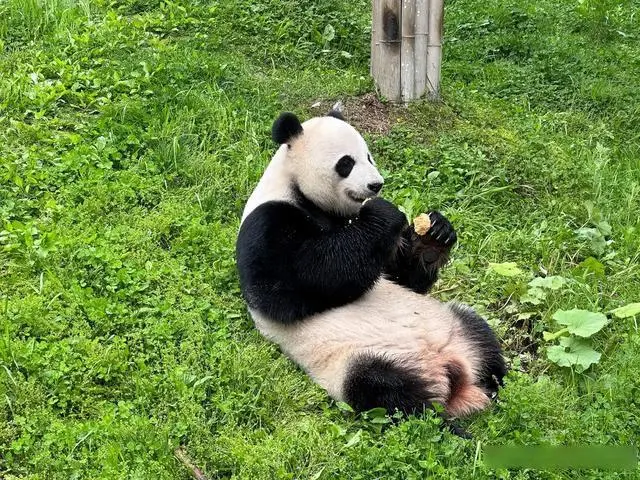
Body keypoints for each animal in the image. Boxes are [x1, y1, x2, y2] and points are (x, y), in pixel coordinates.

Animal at [235, 110, 504, 418]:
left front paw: (435, 235)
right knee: (389, 392)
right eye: (346, 163)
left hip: (452, 324)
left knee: (481, 336)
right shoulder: (268, 222)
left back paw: (498, 388)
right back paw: (443, 419)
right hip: (358, 360)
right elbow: (289, 287)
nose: (376, 185)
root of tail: (450, 371)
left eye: (369, 156)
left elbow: (401, 277)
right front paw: (383, 212)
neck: (300, 191)